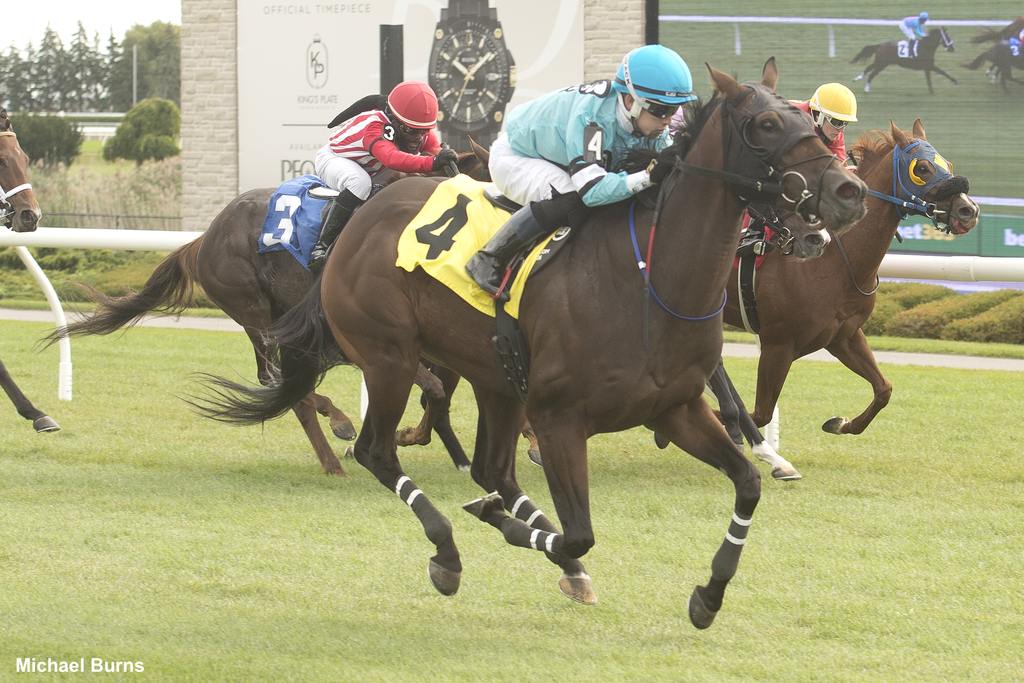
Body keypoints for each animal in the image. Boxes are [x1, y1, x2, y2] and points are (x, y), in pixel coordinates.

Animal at [193, 60, 872, 630]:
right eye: (765, 124)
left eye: (804, 115)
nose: (848, 190)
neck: (648, 279)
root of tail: (355, 225)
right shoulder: (560, 418)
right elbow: (579, 531)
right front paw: (507, 529)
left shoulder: (675, 408)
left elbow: (747, 483)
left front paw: (708, 594)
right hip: (390, 358)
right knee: (377, 451)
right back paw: (447, 549)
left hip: (496, 377)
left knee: (491, 466)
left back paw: (540, 549)